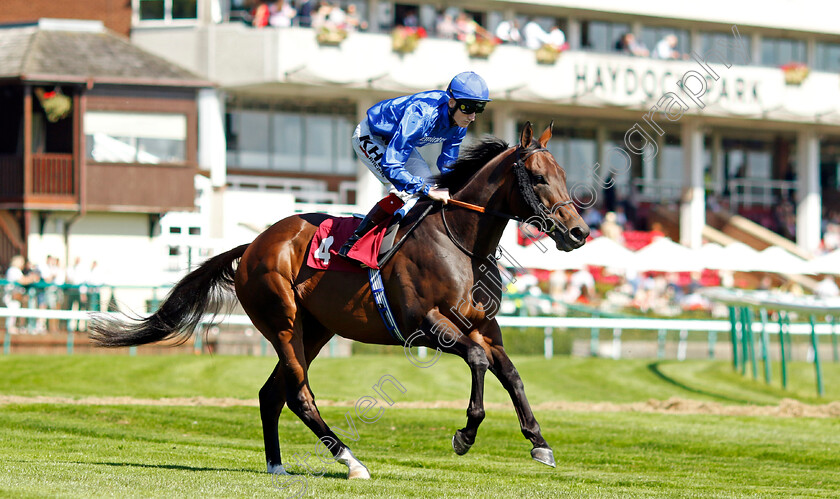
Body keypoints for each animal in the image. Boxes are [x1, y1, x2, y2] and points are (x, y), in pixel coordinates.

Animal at [88, 121, 588, 480]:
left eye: (564, 175)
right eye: (538, 178)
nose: (579, 232)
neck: (462, 244)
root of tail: (252, 246)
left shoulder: (486, 326)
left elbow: (511, 373)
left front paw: (539, 442)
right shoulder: (425, 324)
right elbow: (479, 362)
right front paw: (465, 434)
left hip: (316, 329)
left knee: (271, 393)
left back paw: (277, 465)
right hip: (283, 321)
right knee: (297, 394)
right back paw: (351, 461)